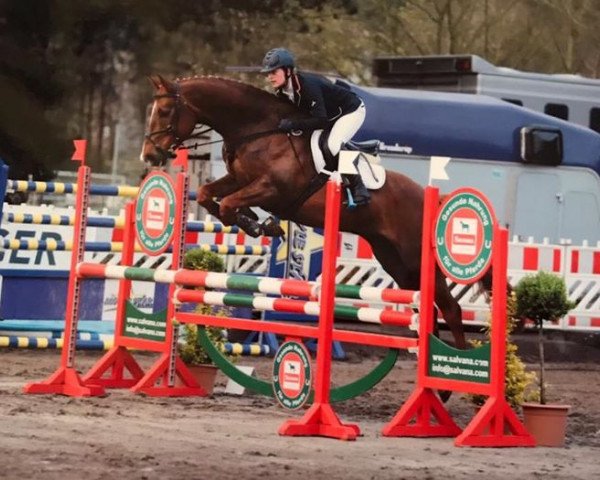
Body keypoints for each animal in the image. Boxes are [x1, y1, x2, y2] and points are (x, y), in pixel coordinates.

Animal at [142, 74, 468, 348]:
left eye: (165, 111)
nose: (149, 156)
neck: (257, 130)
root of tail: (428, 197)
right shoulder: (238, 180)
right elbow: (210, 196)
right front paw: (257, 221)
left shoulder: (273, 189)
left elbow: (228, 204)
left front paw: (258, 224)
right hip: (394, 260)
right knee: (425, 305)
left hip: (414, 256)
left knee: (450, 307)